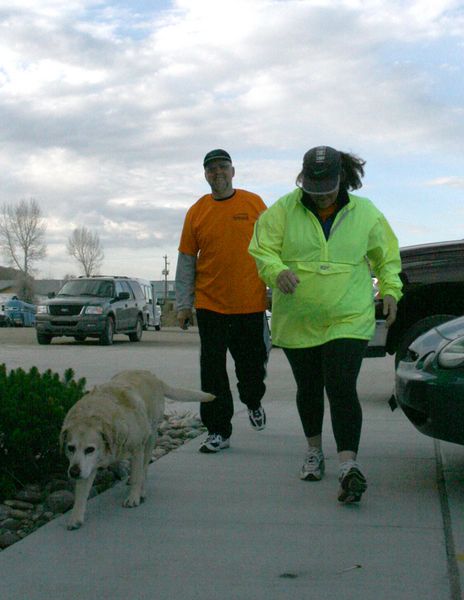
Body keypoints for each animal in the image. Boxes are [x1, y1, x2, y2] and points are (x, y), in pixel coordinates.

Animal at [59, 370, 214, 528]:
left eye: (90, 449)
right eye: (70, 448)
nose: (73, 472)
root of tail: (152, 376)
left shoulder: (137, 448)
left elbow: (138, 474)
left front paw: (134, 496)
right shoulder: (86, 466)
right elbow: (81, 492)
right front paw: (75, 517)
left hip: (150, 436)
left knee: (143, 467)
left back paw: (141, 489)